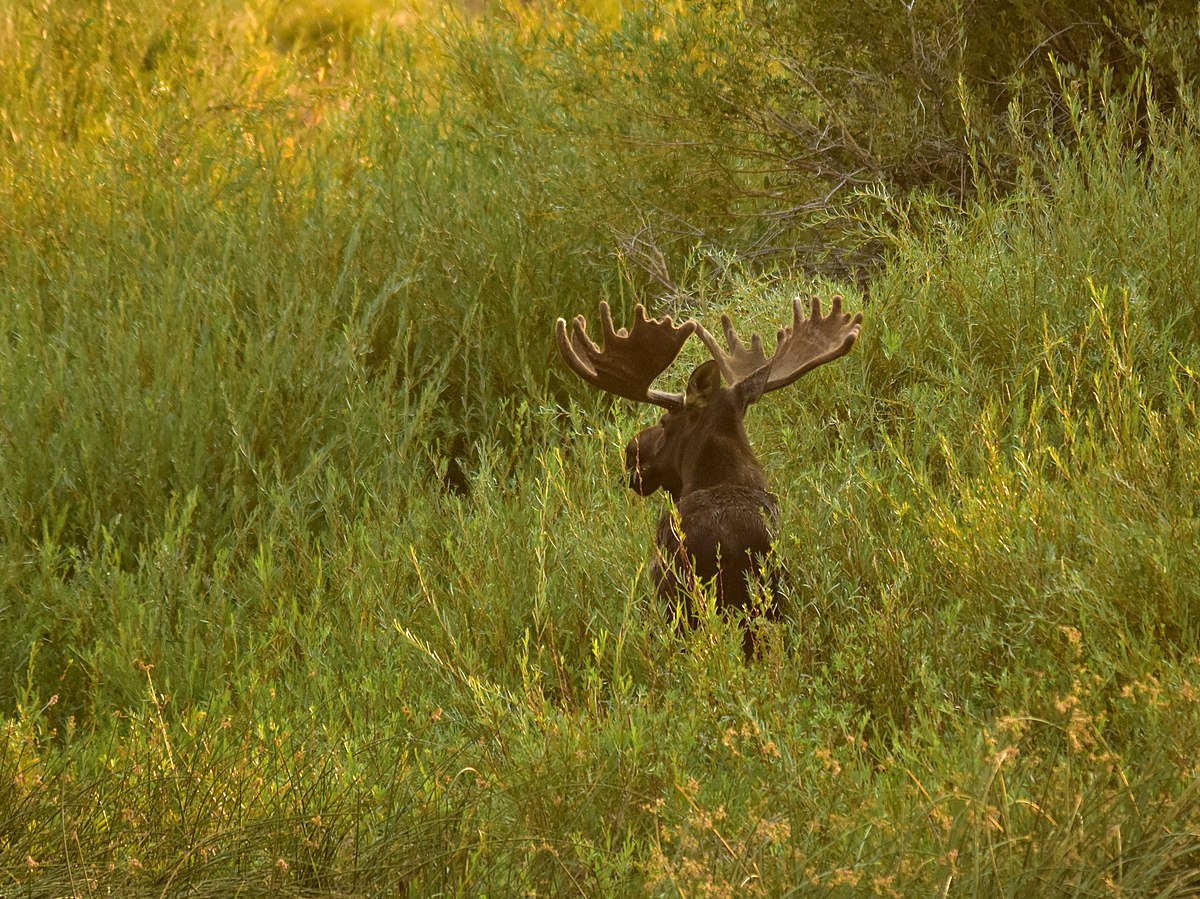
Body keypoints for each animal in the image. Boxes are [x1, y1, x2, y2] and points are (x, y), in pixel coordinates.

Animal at [552, 294, 864, 652]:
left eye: (664, 421)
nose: (631, 451)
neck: (715, 476)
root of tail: (728, 548)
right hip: (772, 597)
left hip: (677, 594)